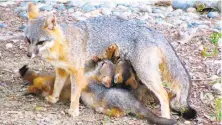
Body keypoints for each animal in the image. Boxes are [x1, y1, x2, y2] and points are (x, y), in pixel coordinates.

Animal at [19, 60, 177, 124]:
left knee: (118, 113)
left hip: (112, 101)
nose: (103, 60)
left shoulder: (86, 83)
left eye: (104, 64)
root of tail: (136, 103)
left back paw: (102, 110)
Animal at [24, 3, 196, 119]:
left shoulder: (78, 73)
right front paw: (54, 98)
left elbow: (74, 94)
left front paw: (73, 111)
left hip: (145, 73)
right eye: (28, 40)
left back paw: (165, 116)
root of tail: (152, 31)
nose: (29, 55)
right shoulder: (61, 70)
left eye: (40, 42)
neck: (63, 44)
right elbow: (57, 86)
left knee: (164, 95)